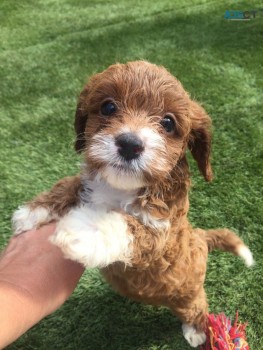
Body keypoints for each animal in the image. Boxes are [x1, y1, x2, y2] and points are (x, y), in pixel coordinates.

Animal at [13, 60, 255, 348]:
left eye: (168, 122)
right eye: (108, 107)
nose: (129, 144)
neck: (123, 187)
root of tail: (201, 237)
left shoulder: (163, 237)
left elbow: (125, 225)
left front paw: (81, 231)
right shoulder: (91, 184)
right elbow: (72, 183)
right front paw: (34, 211)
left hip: (188, 290)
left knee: (196, 305)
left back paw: (197, 331)